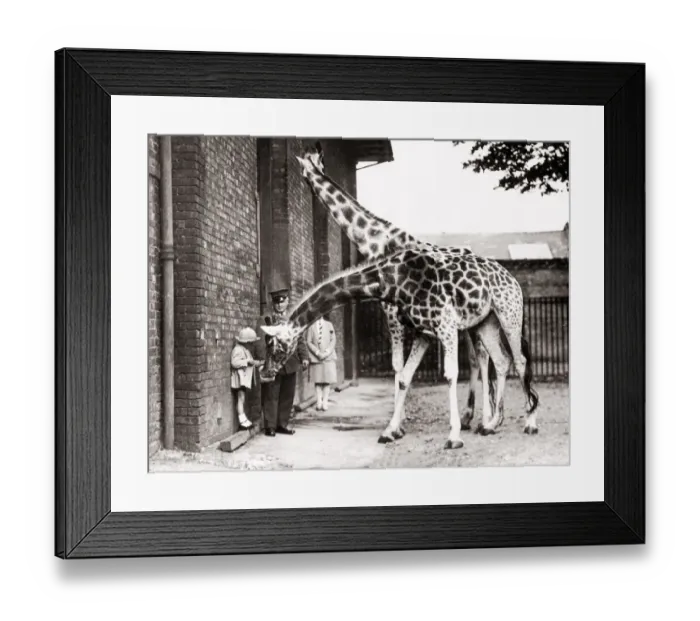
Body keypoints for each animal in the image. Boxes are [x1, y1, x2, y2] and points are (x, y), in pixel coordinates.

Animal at [258, 246, 539, 449]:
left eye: (275, 345)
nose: (265, 373)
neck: (391, 281)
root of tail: (512, 278)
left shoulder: (445, 326)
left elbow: (449, 375)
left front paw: (454, 437)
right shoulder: (423, 332)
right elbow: (404, 377)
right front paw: (389, 431)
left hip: (509, 313)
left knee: (520, 361)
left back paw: (530, 423)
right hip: (485, 321)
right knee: (501, 361)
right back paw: (492, 424)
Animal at [294, 142, 525, 434]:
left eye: (311, 166)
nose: (307, 182)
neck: (376, 241)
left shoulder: (392, 312)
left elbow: (398, 365)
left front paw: (398, 423)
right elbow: (402, 367)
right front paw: (398, 420)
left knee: (484, 359)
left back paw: (485, 419)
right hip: (470, 322)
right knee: (479, 359)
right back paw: (471, 417)